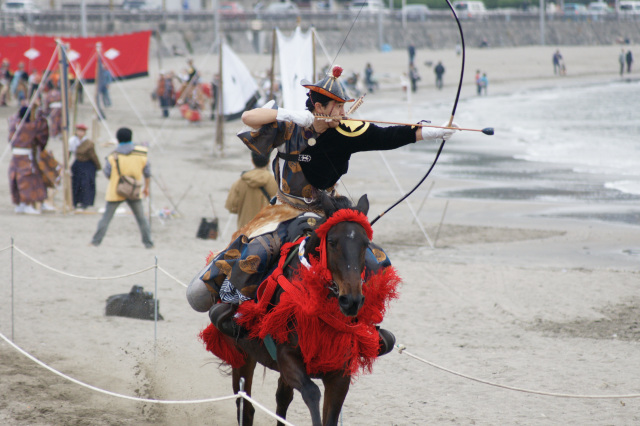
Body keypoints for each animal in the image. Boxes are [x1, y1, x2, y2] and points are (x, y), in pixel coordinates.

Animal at [200, 194, 400, 426]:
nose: (351, 300)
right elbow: (312, 393)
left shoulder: (340, 373)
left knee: (281, 399)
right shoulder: (287, 358)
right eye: (332, 242)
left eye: (365, 243)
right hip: (242, 353)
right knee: (245, 405)